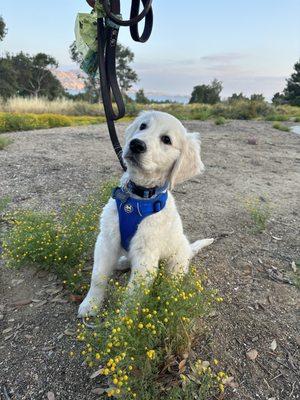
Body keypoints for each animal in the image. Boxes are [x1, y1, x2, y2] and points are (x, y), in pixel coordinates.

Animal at [78, 111, 213, 318]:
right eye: (143, 126)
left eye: (166, 139)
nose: (136, 144)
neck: (137, 198)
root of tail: (188, 249)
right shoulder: (106, 240)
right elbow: (98, 276)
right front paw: (90, 304)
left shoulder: (146, 257)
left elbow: (132, 296)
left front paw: (122, 322)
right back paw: (122, 261)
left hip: (175, 262)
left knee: (172, 280)